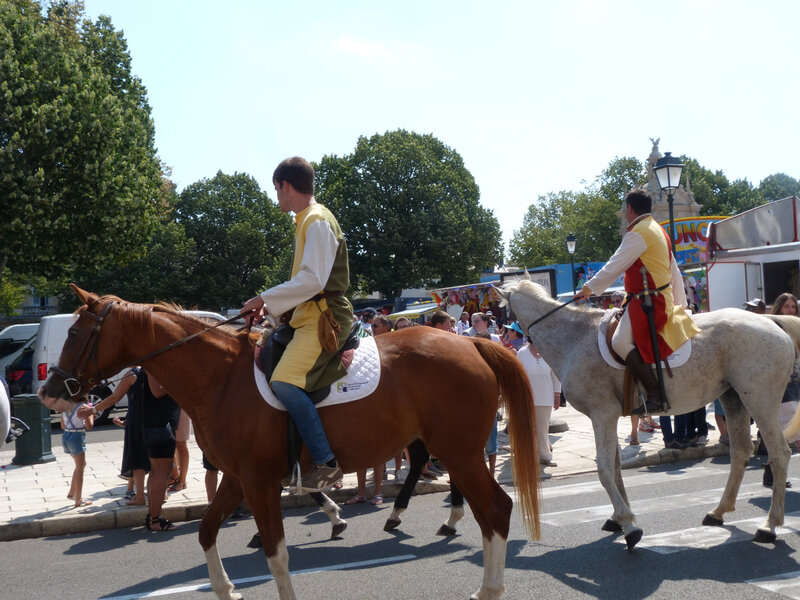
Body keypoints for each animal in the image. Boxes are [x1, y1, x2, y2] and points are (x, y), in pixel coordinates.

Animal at [40, 288, 540, 600]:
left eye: (75, 333)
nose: (51, 392)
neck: (222, 378)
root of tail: (472, 344)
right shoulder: (239, 478)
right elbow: (207, 531)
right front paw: (226, 589)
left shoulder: (260, 481)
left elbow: (276, 553)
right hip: (450, 448)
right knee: (467, 497)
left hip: (459, 451)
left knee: (495, 509)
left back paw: (487, 586)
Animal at [504, 278, 796, 552]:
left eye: (503, 311)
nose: (508, 337)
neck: (572, 338)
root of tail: (770, 320)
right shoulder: (608, 418)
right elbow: (616, 467)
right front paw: (618, 518)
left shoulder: (602, 414)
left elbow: (605, 469)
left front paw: (629, 526)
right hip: (733, 399)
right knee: (741, 452)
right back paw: (718, 512)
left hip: (760, 401)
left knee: (780, 454)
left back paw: (769, 526)